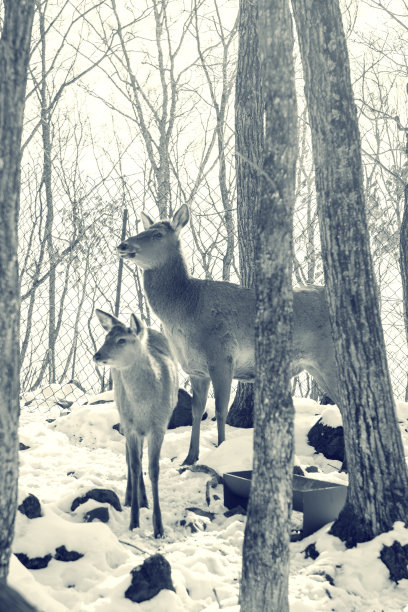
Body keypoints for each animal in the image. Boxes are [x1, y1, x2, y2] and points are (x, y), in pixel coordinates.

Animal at [93, 310, 178, 536]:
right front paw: (134, 522)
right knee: (132, 458)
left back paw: (143, 499)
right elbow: (134, 463)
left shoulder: (160, 425)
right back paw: (131, 497)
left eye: (122, 340)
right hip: (122, 413)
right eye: (106, 337)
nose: (97, 356)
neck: (144, 406)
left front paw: (158, 527)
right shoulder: (130, 425)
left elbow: (154, 469)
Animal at [115, 206, 342, 464]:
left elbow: (221, 410)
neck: (186, 308)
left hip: (329, 359)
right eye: (144, 229)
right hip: (314, 366)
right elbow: (196, 411)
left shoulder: (222, 356)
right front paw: (190, 458)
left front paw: (220, 448)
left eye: (157, 234)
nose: (122, 245)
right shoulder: (195, 369)